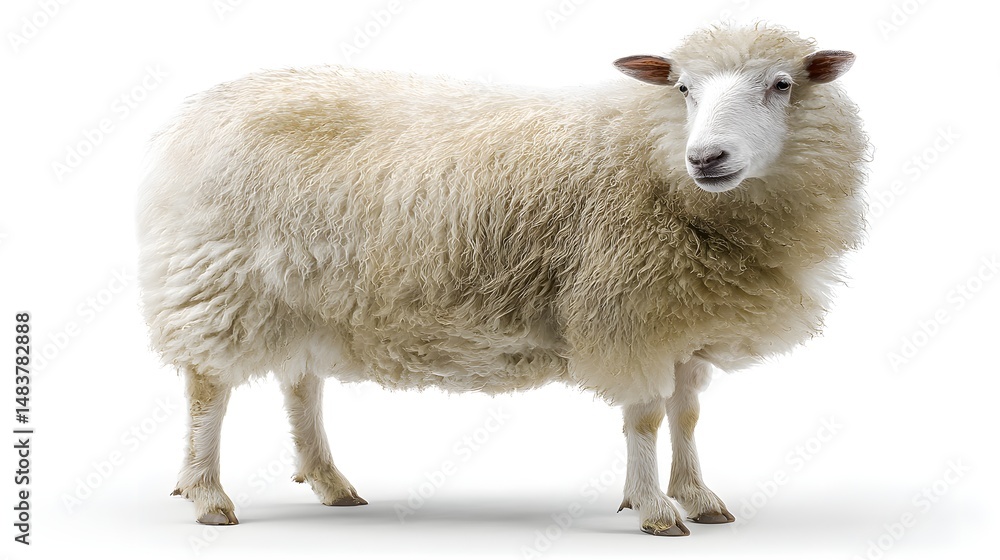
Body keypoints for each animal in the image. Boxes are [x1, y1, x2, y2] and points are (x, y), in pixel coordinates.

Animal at [136, 23, 867, 536]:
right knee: (207, 391)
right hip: (219, 281)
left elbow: (685, 416)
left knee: (301, 383)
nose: (707, 157)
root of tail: (205, 107)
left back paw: (330, 481)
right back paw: (207, 494)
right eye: (682, 87)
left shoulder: (680, 318)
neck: (649, 152)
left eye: (782, 84)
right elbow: (647, 419)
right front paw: (655, 508)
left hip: (307, 290)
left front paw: (697, 496)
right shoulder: (626, 311)